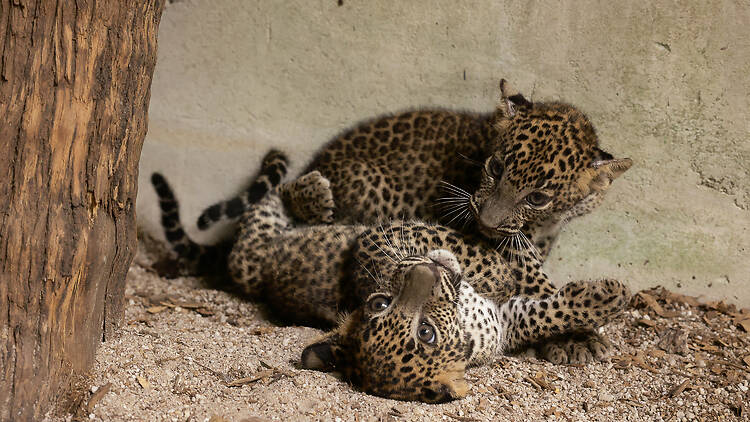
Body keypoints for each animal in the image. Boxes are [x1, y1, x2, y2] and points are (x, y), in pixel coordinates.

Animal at [151, 151, 631, 403]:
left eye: (381, 304)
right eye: (425, 333)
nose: (424, 270)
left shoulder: (506, 319)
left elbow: (543, 307)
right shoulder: (381, 238)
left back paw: (312, 192)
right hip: (250, 254)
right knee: (267, 201)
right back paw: (302, 184)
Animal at [195, 79, 632, 260]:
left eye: (538, 198)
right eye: (495, 167)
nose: (487, 222)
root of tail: (321, 159)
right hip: (371, 186)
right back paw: (314, 195)